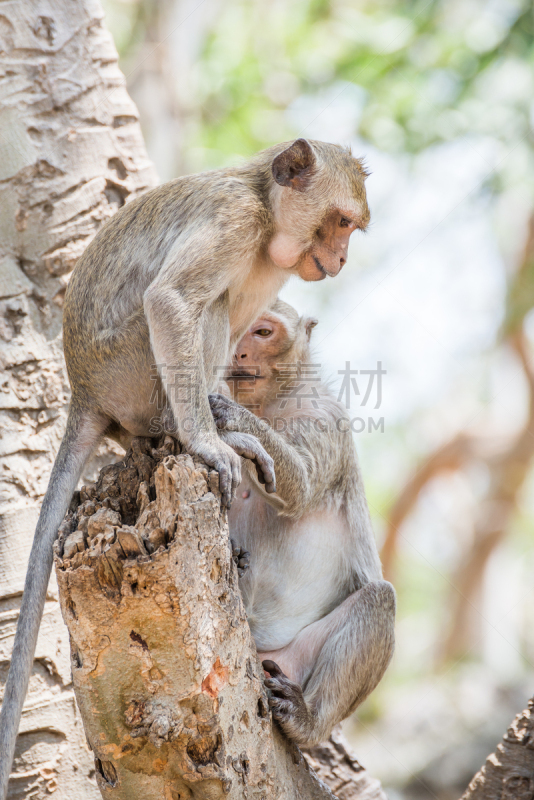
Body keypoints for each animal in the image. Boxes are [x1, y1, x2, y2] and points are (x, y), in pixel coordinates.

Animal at [0, 139, 370, 792]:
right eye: (340, 221)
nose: (343, 255)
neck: (266, 212)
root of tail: (84, 391)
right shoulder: (233, 221)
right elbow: (172, 302)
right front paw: (208, 440)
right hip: (130, 370)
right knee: (207, 306)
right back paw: (188, 429)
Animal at [209, 300, 398, 744]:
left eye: (262, 332)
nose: (238, 353)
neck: (270, 404)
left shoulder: (326, 418)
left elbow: (303, 485)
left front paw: (232, 417)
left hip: (287, 663)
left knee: (379, 600)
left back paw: (306, 719)